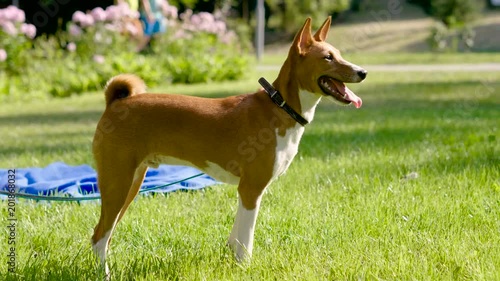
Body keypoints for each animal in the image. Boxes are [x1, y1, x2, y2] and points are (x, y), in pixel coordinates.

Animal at [92, 17, 366, 274]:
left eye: (339, 54)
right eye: (328, 58)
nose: (362, 72)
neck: (280, 107)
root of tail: (115, 104)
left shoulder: (248, 192)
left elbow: (236, 238)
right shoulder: (250, 189)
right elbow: (246, 240)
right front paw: (245, 269)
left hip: (132, 183)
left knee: (105, 235)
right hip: (118, 183)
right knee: (99, 235)